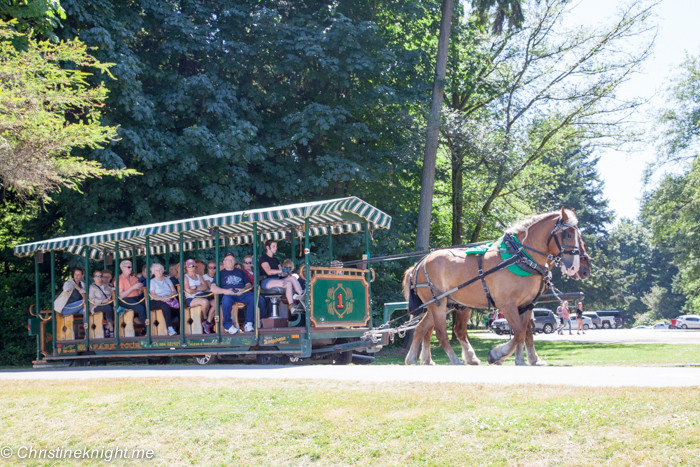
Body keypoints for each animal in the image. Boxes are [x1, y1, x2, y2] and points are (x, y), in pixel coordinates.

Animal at [400, 208, 592, 366]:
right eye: (568, 234)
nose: (583, 268)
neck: (520, 257)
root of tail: (419, 263)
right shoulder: (506, 304)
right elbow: (519, 332)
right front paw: (497, 354)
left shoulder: (527, 305)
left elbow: (527, 333)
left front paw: (529, 360)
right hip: (437, 303)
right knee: (440, 332)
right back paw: (454, 360)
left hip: (443, 304)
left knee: (422, 329)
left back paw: (415, 359)